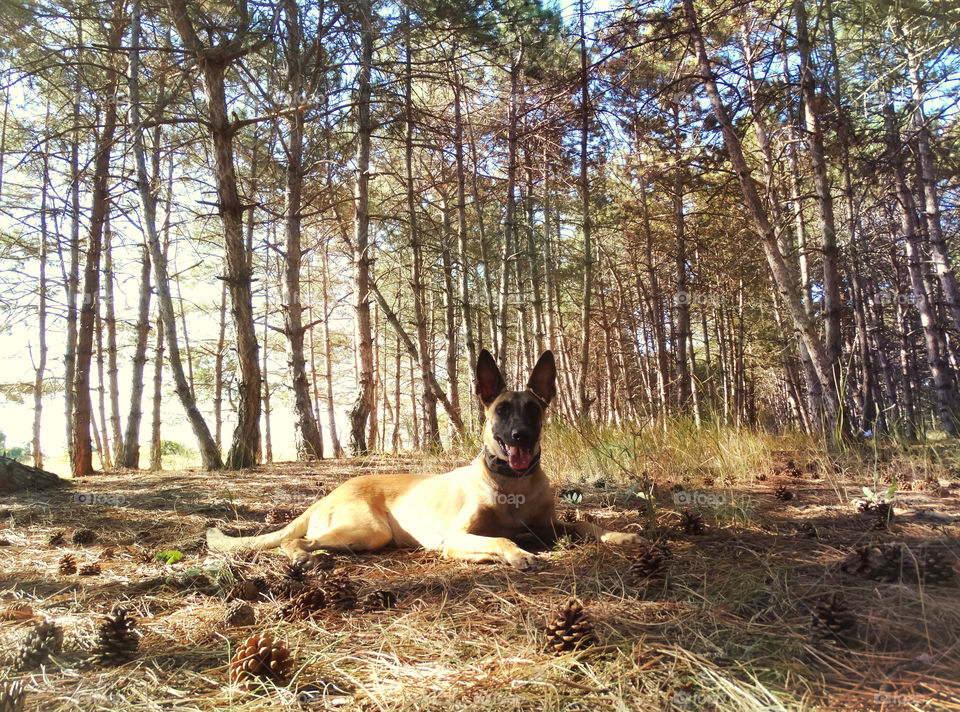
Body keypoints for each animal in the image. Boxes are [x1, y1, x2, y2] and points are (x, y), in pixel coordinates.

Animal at [208, 348, 644, 572]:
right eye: (502, 410)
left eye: (533, 410)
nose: (520, 436)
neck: (511, 485)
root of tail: (329, 494)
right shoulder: (458, 536)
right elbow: (501, 538)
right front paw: (518, 553)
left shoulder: (547, 526)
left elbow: (587, 524)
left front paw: (621, 536)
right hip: (366, 530)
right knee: (292, 541)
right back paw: (302, 557)